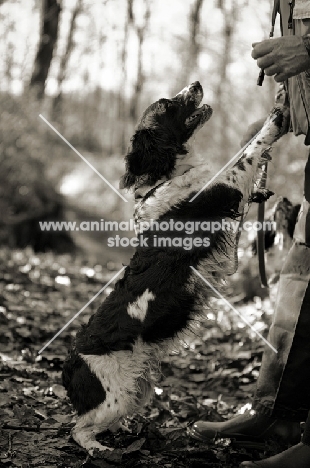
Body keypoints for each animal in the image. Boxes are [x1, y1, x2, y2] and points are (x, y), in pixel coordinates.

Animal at [61, 80, 290, 454]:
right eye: (167, 105)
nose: (196, 83)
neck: (167, 177)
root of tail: (70, 365)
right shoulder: (223, 189)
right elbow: (246, 154)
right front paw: (274, 118)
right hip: (115, 397)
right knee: (77, 429)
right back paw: (100, 449)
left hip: (137, 388)